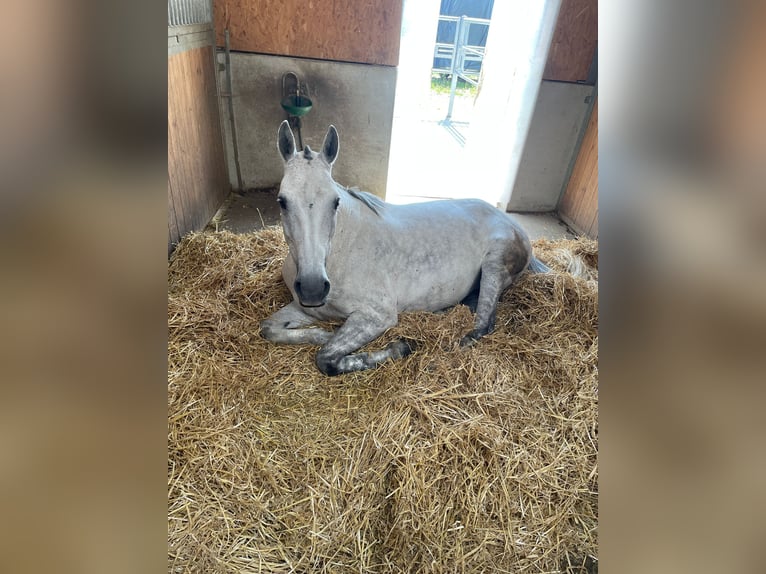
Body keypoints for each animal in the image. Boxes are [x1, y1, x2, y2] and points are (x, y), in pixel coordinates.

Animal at [260, 121, 551, 376]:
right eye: (282, 201)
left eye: (335, 202)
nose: (312, 289)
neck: (339, 254)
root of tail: (512, 223)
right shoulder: (303, 309)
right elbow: (269, 328)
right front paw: (322, 333)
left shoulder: (377, 316)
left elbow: (326, 358)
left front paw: (401, 346)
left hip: (493, 266)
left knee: (483, 324)